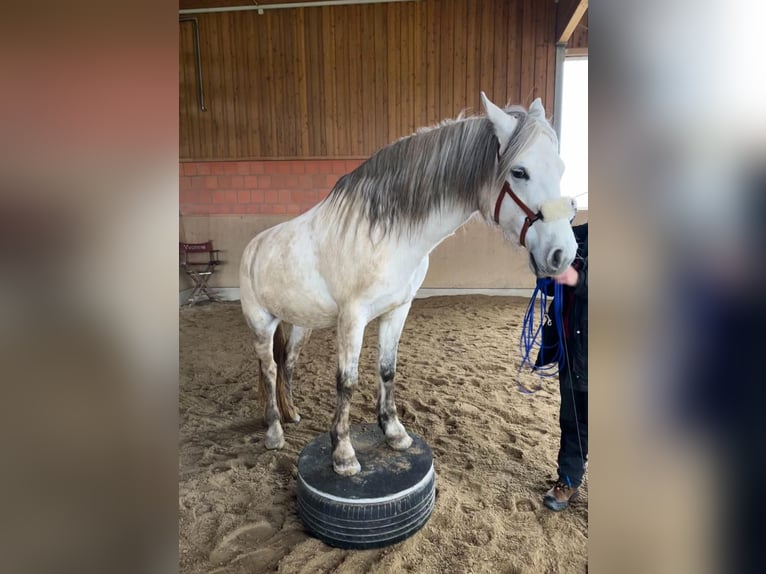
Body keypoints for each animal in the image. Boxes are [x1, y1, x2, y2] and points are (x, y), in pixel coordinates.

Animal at [243, 94, 580, 476]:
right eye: (519, 171)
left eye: (561, 168)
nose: (563, 254)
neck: (386, 233)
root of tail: (253, 247)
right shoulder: (352, 318)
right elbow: (346, 381)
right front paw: (343, 453)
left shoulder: (397, 310)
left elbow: (387, 369)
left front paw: (394, 432)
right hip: (262, 324)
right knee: (269, 369)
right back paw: (274, 432)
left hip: (301, 325)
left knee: (286, 364)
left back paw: (292, 414)